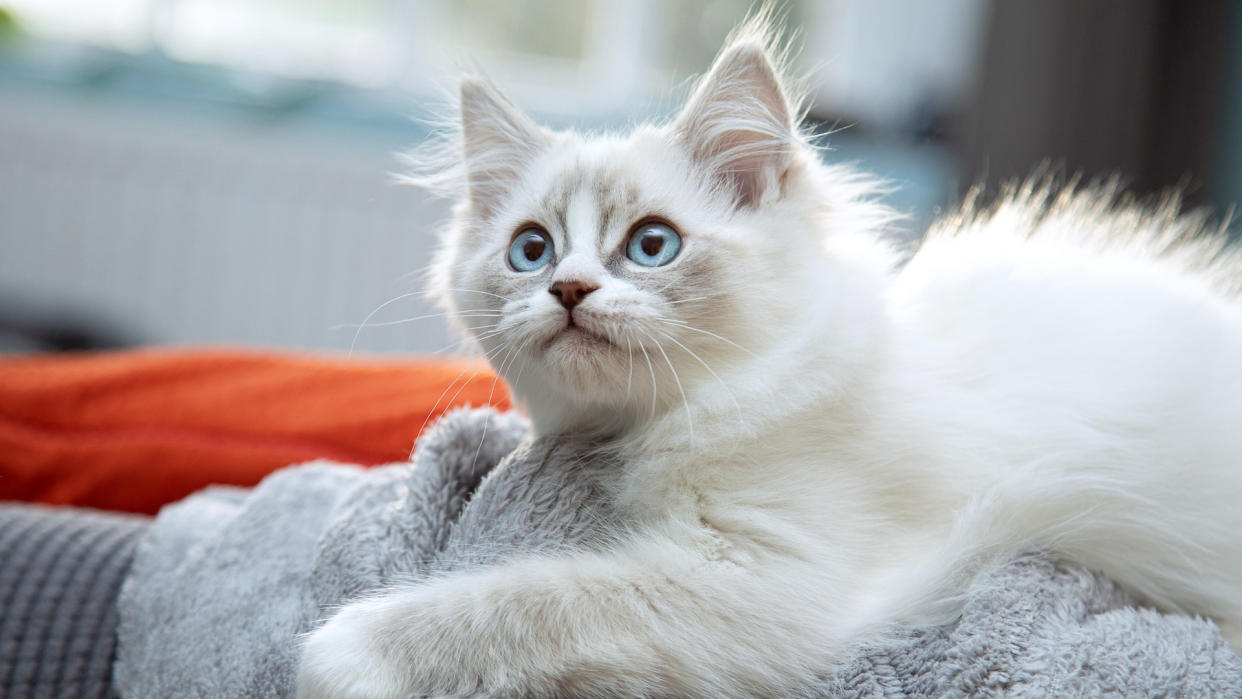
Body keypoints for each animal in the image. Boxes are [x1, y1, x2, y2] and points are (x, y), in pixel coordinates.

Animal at [298, 16, 1242, 699]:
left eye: (651, 245)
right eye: (531, 250)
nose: (567, 288)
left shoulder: (773, 585)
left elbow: (533, 597)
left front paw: (339, 651)